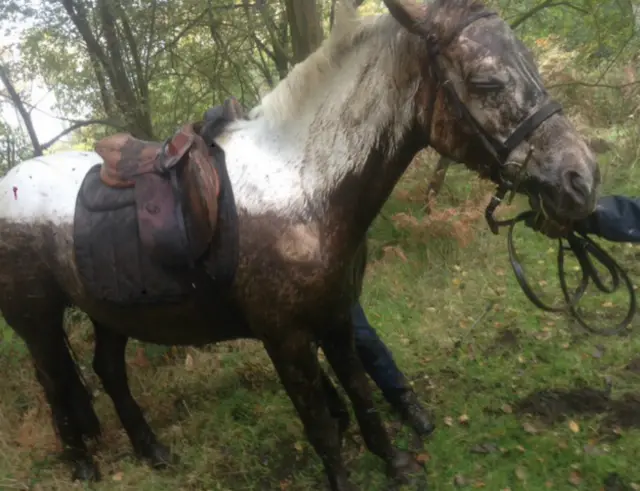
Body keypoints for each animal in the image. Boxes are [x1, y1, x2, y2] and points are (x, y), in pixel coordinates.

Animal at [0, 0, 600, 491]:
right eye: (487, 82)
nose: (581, 179)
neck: (303, 186)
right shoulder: (285, 337)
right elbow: (320, 424)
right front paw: (347, 476)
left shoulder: (335, 316)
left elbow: (359, 390)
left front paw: (397, 464)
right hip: (39, 321)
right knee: (54, 381)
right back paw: (82, 463)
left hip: (109, 310)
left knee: (108, 369)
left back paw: (151, 450)